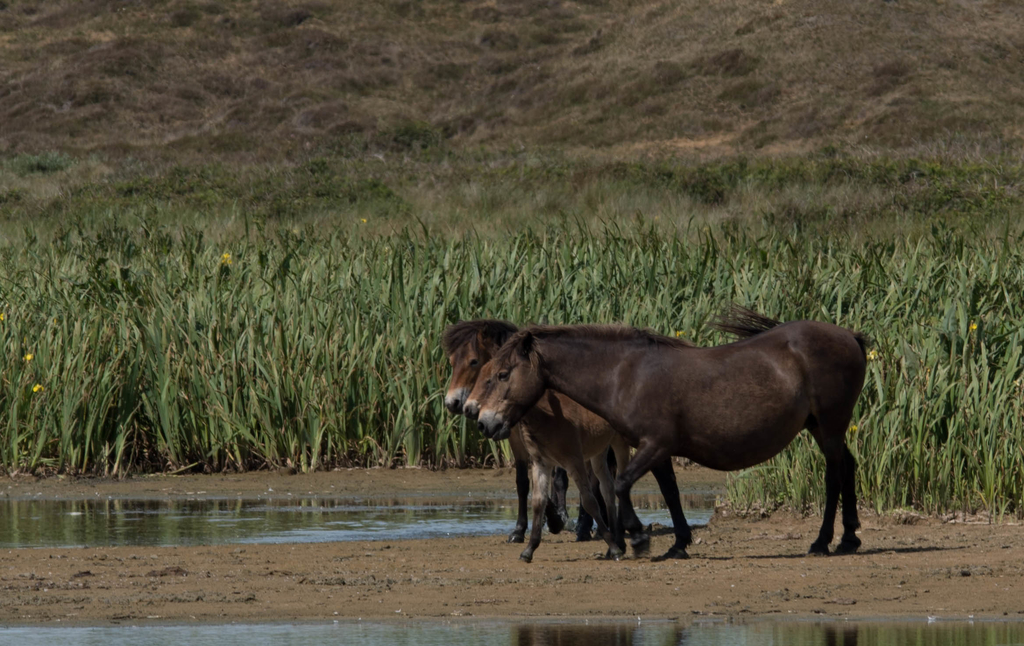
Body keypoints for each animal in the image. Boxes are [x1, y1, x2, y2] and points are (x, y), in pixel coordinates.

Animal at [471, 311, 864, 556]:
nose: (484, 422)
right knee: (849, 466)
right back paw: (849, 538)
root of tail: (851, 336)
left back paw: (822, 542)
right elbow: (671, 493)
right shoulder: (658, 451)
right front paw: (678, 543)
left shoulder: (653, 445)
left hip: (830, 426)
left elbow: (620, 484)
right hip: (822, 427)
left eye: (503, 374)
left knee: (834, 475)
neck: (624, 374)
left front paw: (636, 535)